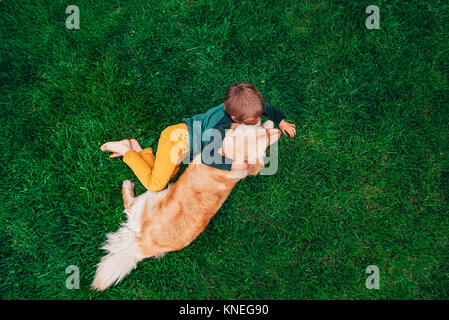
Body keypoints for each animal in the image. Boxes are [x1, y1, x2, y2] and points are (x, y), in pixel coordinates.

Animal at [91, 120, 280, 290]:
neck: (230, 155)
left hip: (151, 195)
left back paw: (127, 180)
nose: (278, 131)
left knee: (130, 203)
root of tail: (141, 246)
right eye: (265, 134)